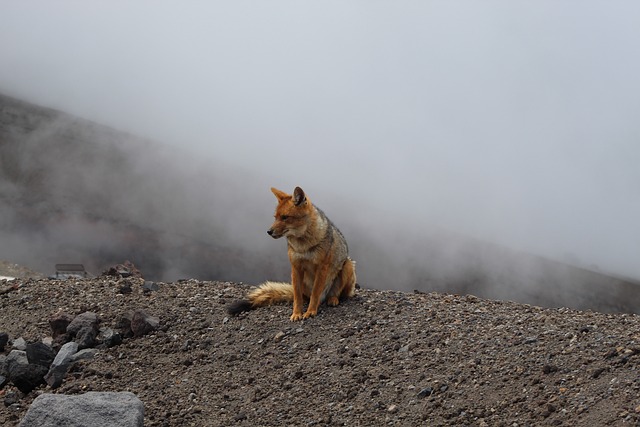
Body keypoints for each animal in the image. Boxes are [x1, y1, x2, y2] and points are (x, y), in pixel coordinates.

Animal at [226, 187, 358, 320]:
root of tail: (324, 297)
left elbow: (315, 293)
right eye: (275, 217)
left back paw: (333, 299)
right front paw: (296, 313)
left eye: (285, 217)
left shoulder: (322, 268)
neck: (303, 246)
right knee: (304, 297)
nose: (269, 231)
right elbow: (297, 296)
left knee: (337, 294)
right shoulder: (295, 267)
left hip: (347, 265)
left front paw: (310, 311)